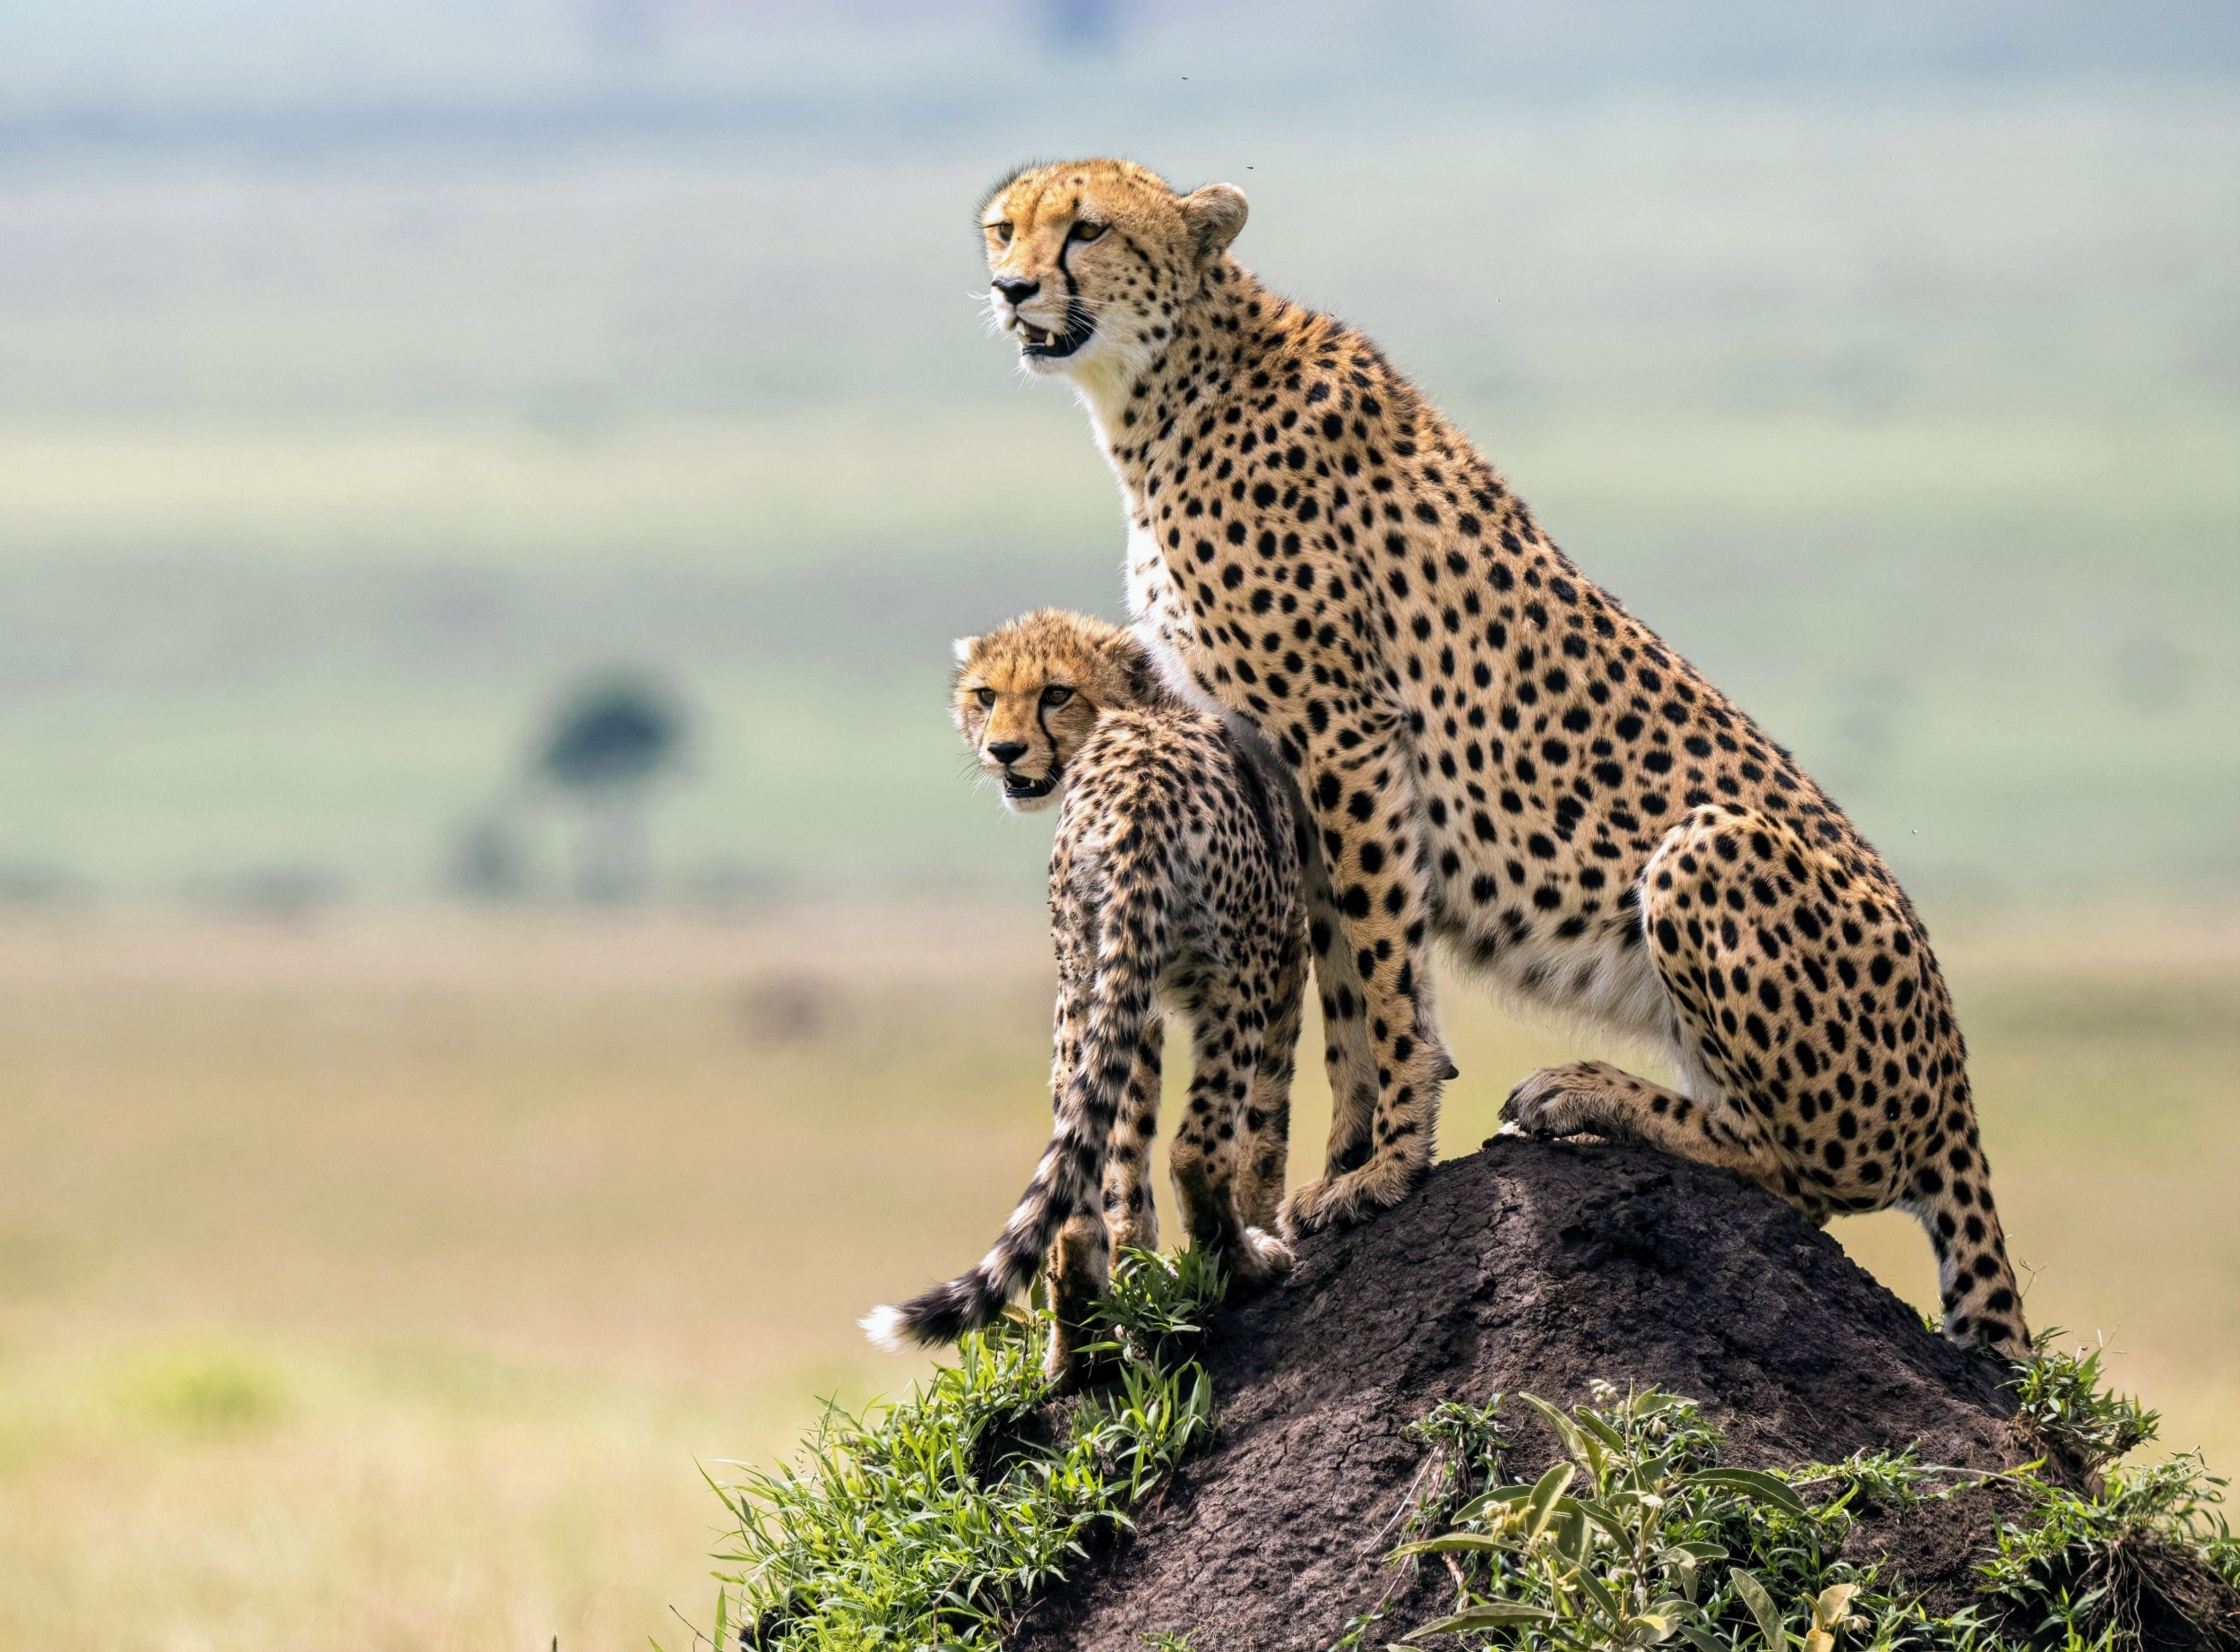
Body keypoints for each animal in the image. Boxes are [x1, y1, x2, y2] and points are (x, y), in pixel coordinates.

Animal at [862, 607, 1305, 1380]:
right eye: (986, 695)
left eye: (1056, 693)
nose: (1005, 751)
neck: (1145, 705)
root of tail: (1141, 793)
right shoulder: (1287, 955)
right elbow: (1265, 1125)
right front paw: (1259, 1224)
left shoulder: (1134, 1003)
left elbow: (1121, 1161)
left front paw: (1138, 1275)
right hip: (1238, 977)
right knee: (1197, 1146)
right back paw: (1243, 1266)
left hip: (1084, 978)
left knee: (1070, 1197)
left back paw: (1079, 1354)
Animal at [972, 157, 2029, 1357]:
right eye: (1002, 229)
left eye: (1087, 229)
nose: (1011, 289)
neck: (1167, 387)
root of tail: (1957, 1081)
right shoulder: (1287, 771)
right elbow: (1344, 987)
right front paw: (1335, 1166)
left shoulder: (1342, 733)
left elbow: (1386, 974)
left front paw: (1385, 1166)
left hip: (1709, 846)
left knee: (1807, 1168)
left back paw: (1583, 1091)